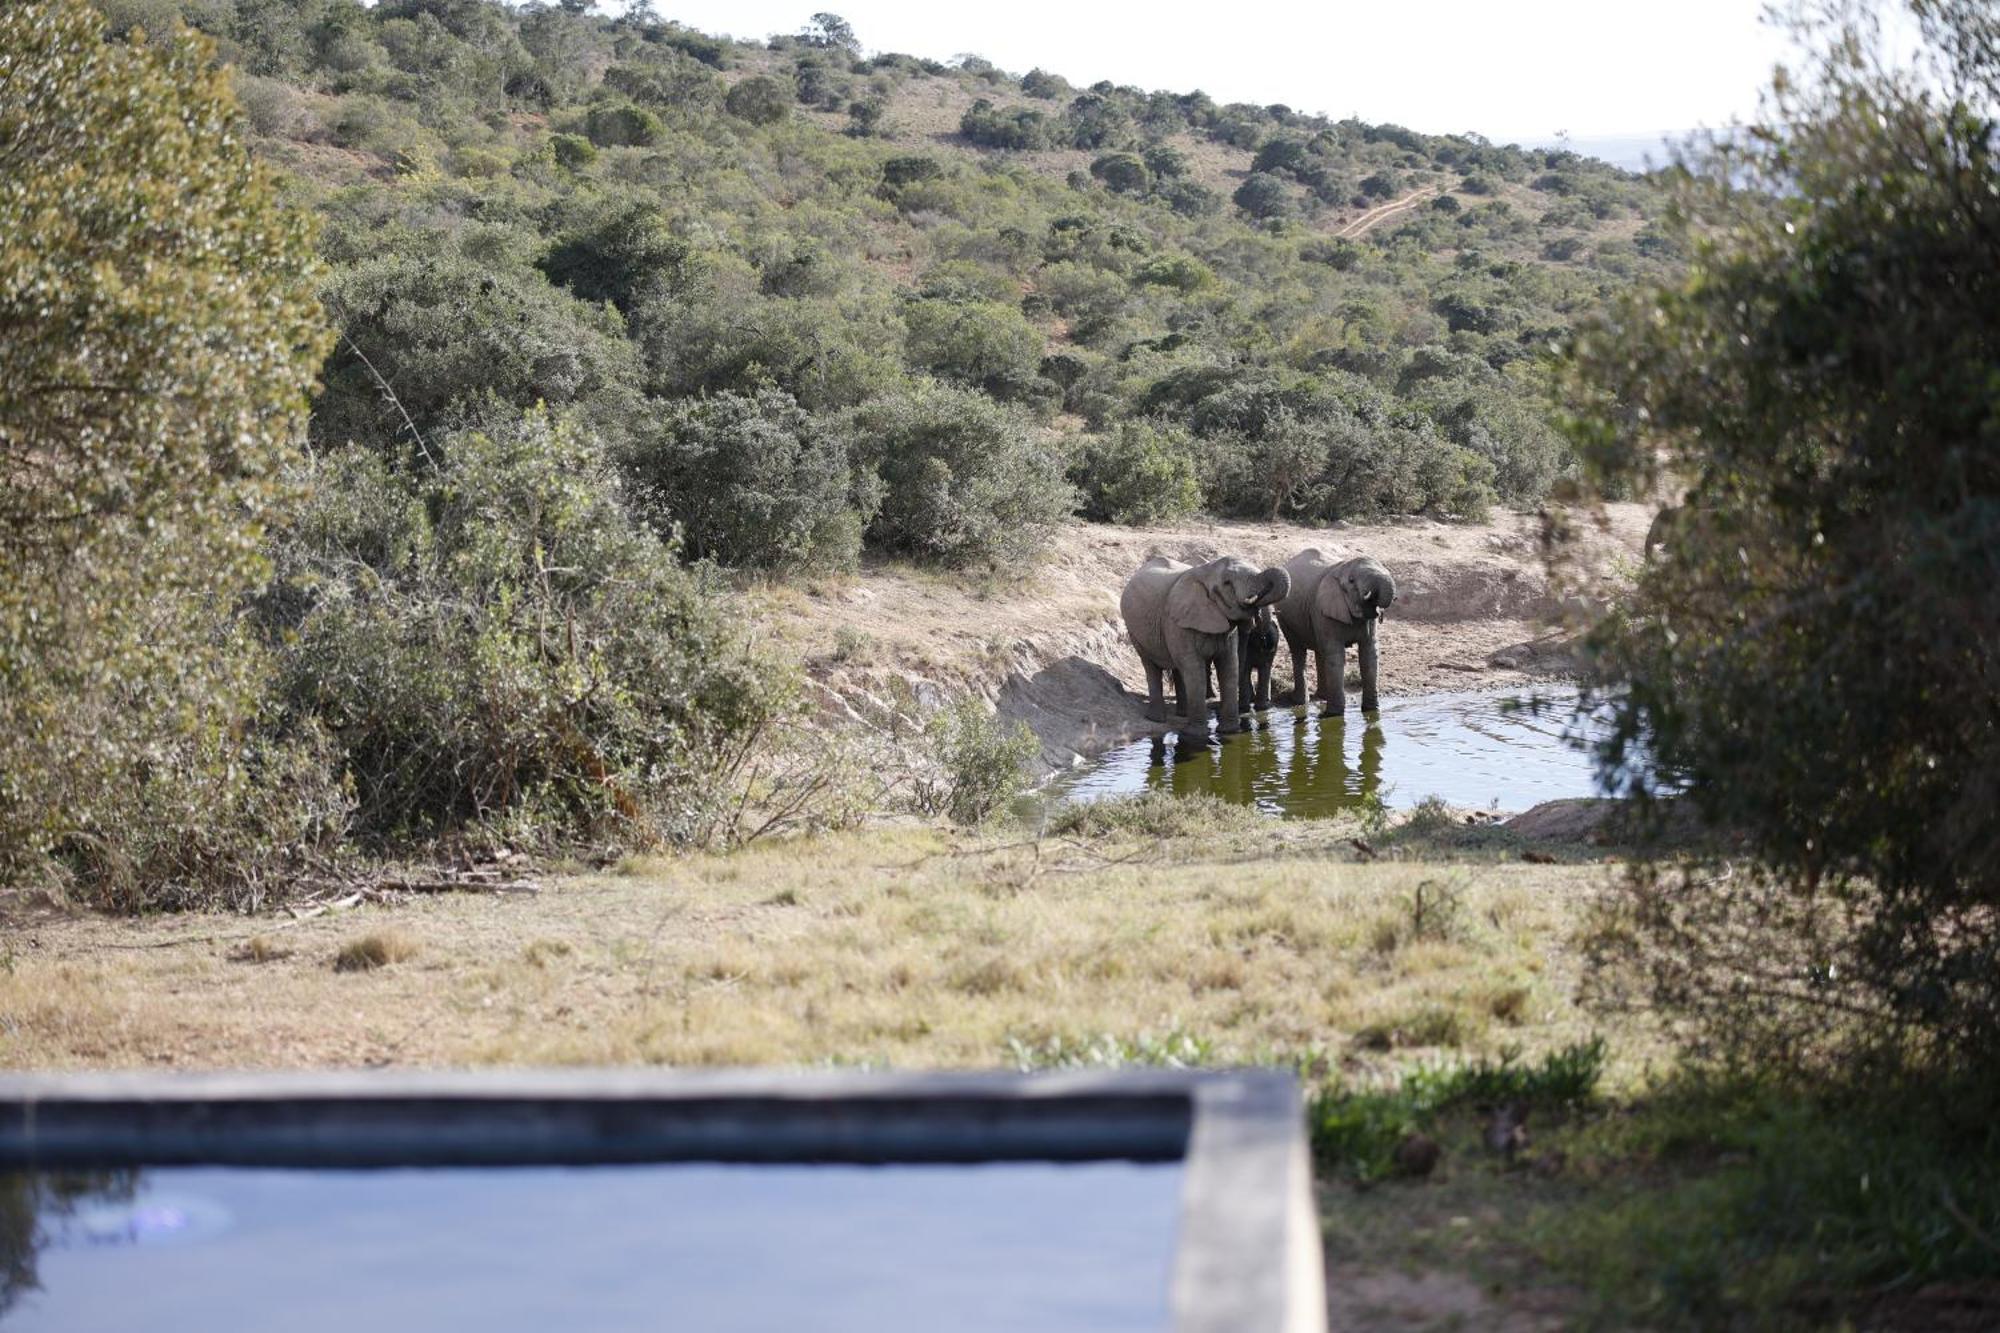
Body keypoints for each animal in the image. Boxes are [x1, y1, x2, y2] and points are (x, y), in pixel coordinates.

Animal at [1120, 552, 1288, 732]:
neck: (1205, 570)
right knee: (1151, 666)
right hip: (1135, 632)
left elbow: (1229, 666)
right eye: (1227, 583)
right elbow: (1194, 668)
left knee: (1178, 668)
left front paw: (1229, 731)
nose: (1256, 615)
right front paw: (1198, 734)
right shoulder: (1177, 621)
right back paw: (1157, 719)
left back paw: (1183, 714)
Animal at [1280, 548, 1392, 716]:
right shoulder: (1324, 609)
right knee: (1298, 651)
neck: (1341, 569)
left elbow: (1369, 654)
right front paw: (1334, 714)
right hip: (1285, 618)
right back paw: (1300, 701)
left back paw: (1322, 696)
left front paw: (1372, 711)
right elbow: (1336, 655)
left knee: (1320, 651)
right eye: (1351, 581)